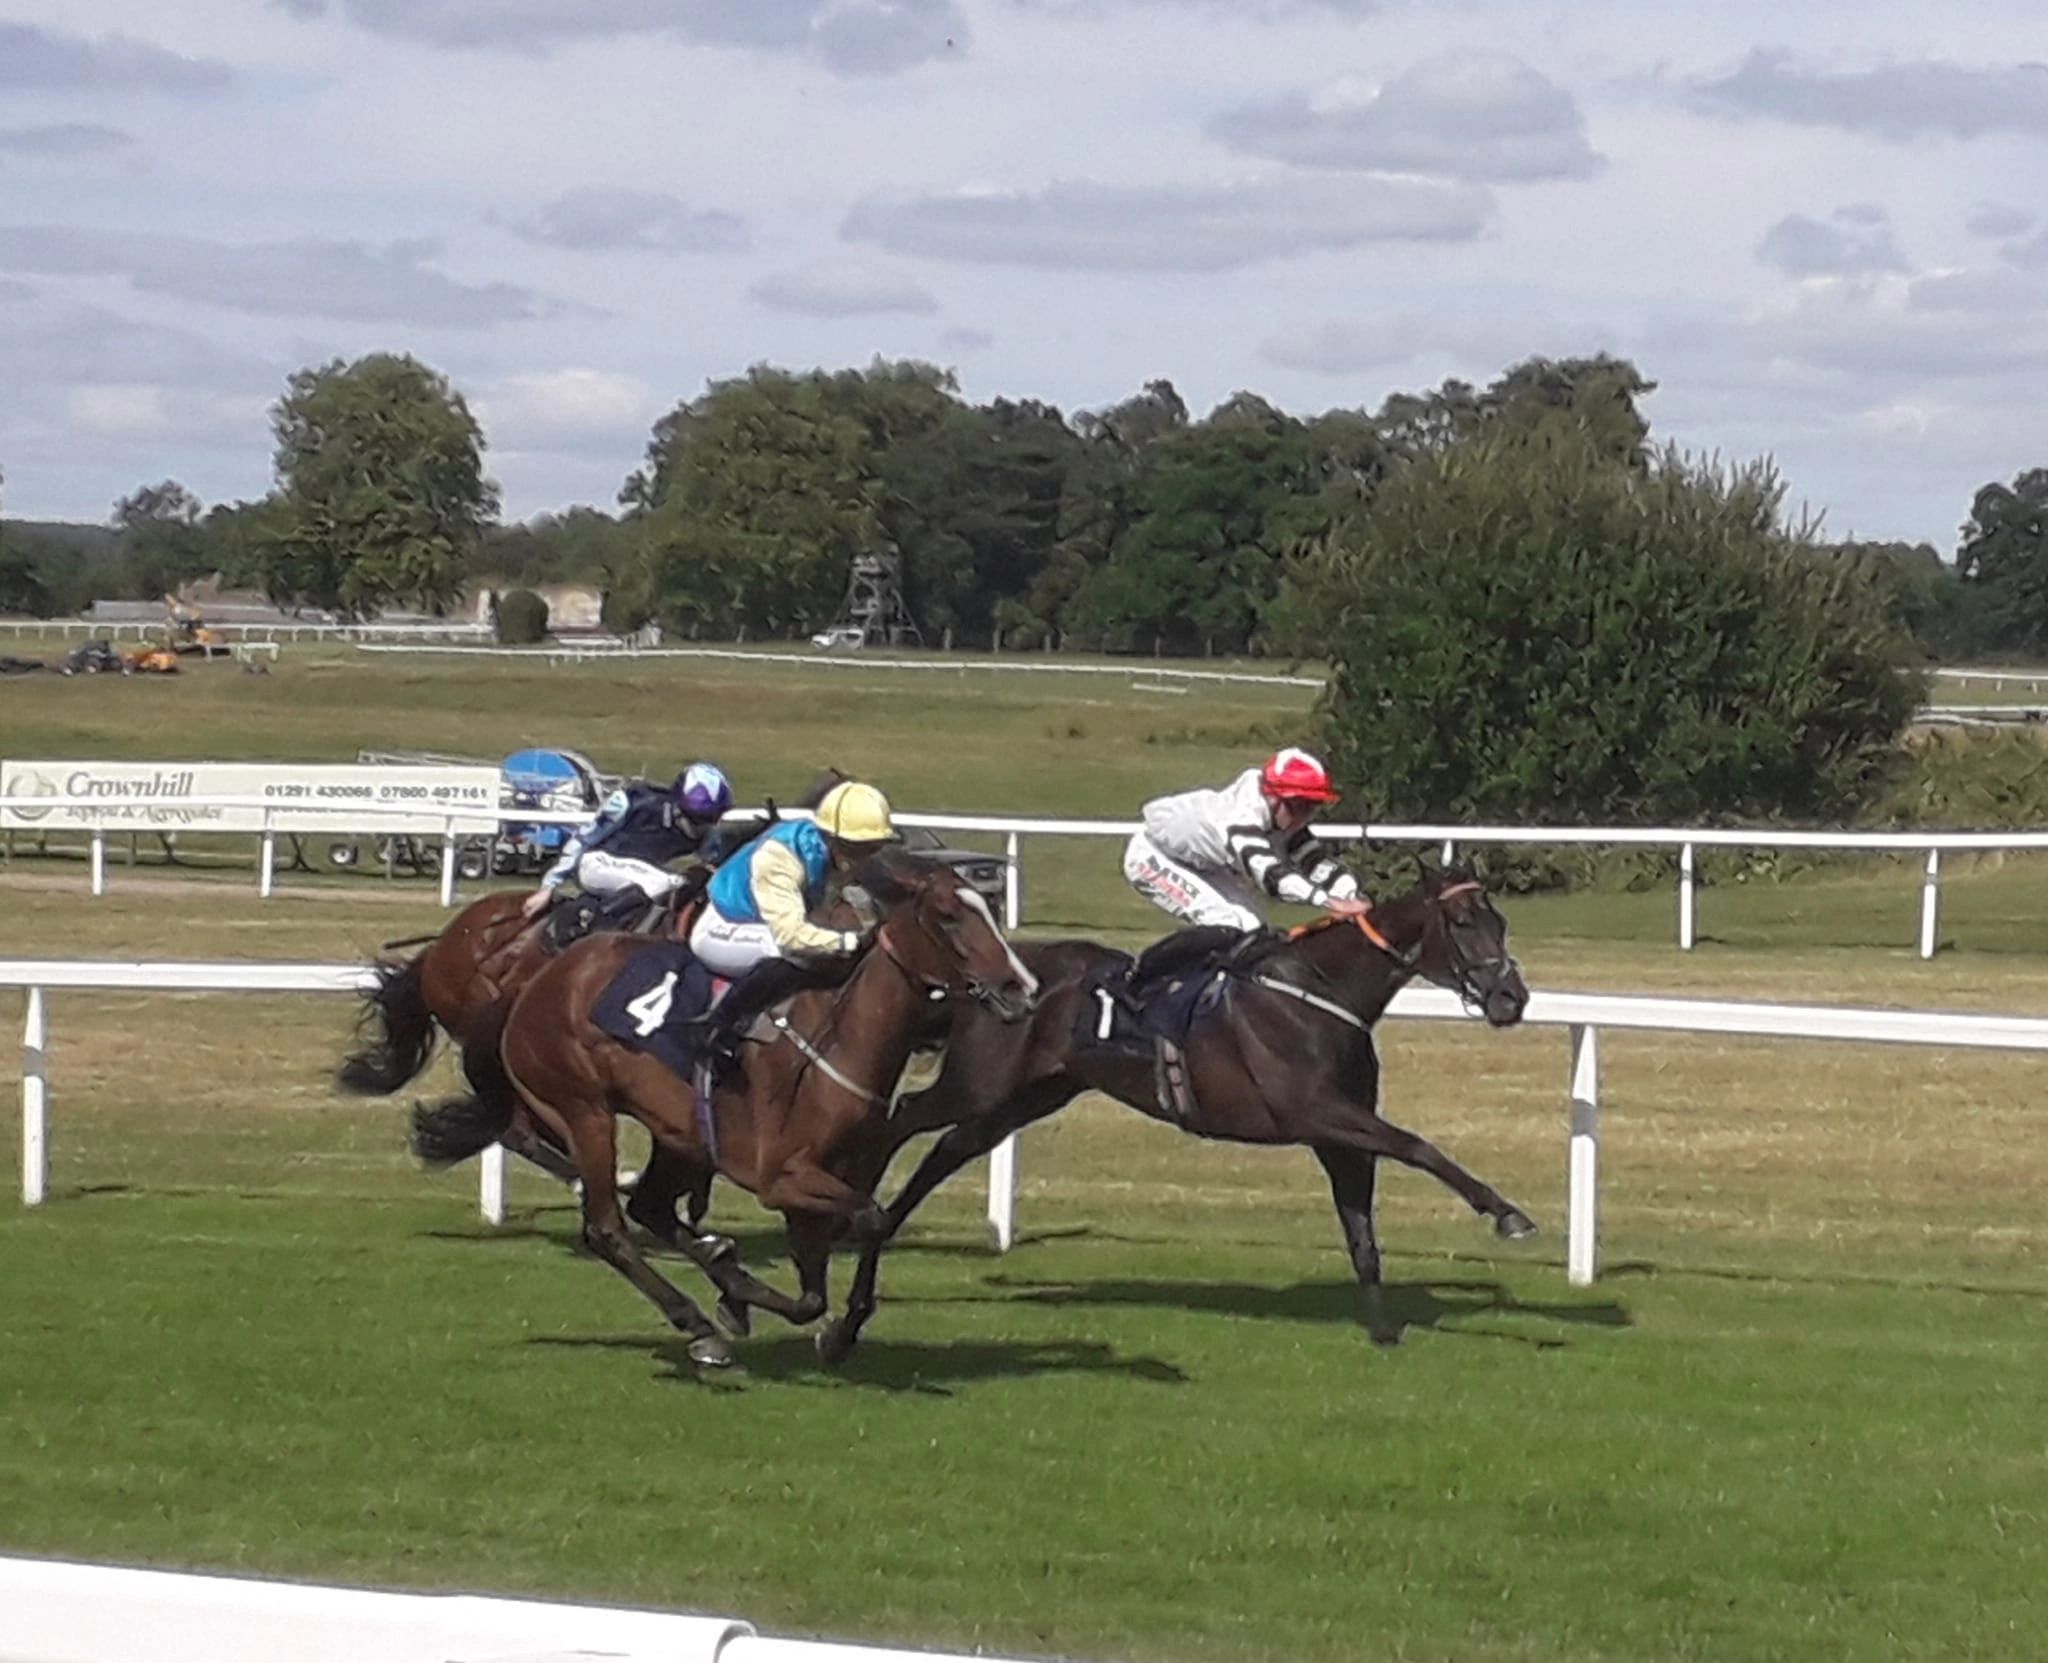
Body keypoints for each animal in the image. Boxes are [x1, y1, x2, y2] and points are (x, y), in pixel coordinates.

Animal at [407, 856, 1040, 1368]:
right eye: (947, 916)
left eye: (989, 909)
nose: (1024, 988)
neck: (841, 1042)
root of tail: (533, 981)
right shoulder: (782, 1177)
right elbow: (868, 1226)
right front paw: (751, 1301)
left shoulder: (833, 1182)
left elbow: (831, 1271)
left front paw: (818, 1323)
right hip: (582, 1110)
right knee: (608, 1228)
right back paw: (697, 1325)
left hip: (678, 1131)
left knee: (651, 1207)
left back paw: (717, 1268)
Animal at [815, 872, 1540, 1368]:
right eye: (1464, 923)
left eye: (1502, 922)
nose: (1513, 996)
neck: (1320, 989)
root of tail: (992, 981)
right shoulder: (1319, 1110)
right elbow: (1419, 1146)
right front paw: (1508, 1213)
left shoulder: (1337, 1134)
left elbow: (1363, 1232)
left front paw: (1384, 1328)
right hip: (978, 1083)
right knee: (900, 1119)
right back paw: (848, 1234)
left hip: (1024, 1097)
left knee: (945, 1152)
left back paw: (853, 1297)